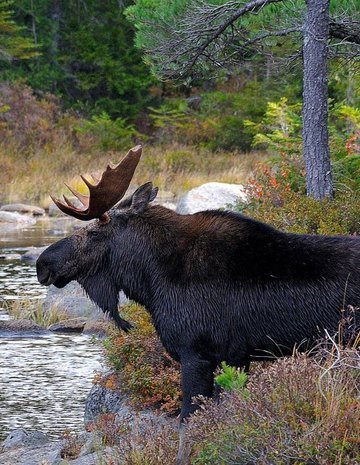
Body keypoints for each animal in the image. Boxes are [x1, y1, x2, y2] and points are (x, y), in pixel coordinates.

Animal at [36, 145, 360, 460]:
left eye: (92, 232)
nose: (43, 264)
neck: (150, 280)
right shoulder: (237, 357)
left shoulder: (196, 353)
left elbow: (187, 425)